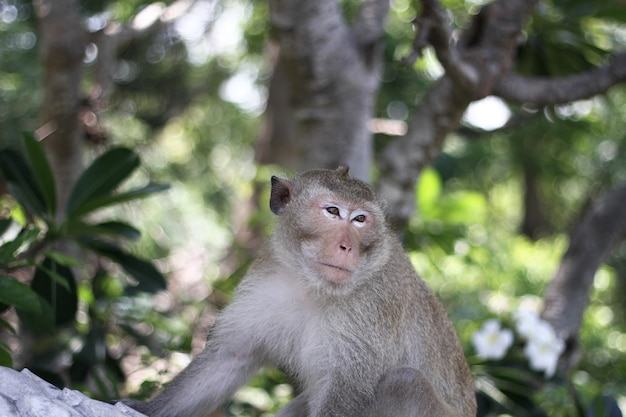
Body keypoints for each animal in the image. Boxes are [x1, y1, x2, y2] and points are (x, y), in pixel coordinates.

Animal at [129, 166, 476, 416]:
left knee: (405, 384)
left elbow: (347, 389)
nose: (347, 246)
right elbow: (231, 356)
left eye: (360, 219)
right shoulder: (264, 283)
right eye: (333, 211)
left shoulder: (374, 306)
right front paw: (146, 407)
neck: (312, 285)